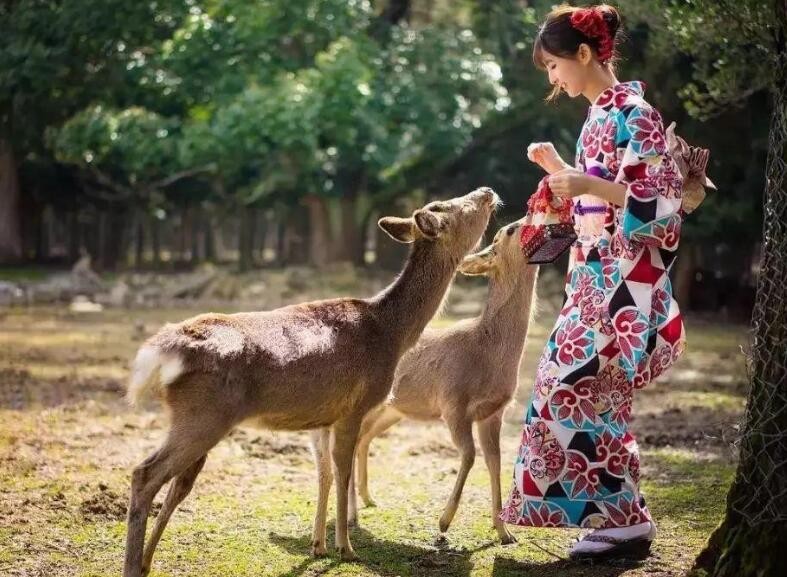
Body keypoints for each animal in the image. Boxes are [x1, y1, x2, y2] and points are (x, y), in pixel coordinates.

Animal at [121, 187, 498, 572]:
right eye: (457, 209)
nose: (486, 192)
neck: (391, 334)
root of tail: (160, 351)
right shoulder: (355, 406)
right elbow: (343, 471)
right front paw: (346, 548)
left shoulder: (324, 416)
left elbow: (324, 474)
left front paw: (318, 544)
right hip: (204, 414)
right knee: (145, 474)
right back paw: (133, 565)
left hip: (196, 417)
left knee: (177, 484)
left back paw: (147, 562)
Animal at [348, 214, 540, 544]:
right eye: (509, 230)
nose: (531, 216)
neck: (487, 355)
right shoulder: (453, 402)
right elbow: (470, 455)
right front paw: (444, 522)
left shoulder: (494, 411)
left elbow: (494, 461)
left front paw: (505, 532)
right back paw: (353, 515)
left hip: (393, 410)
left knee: (364, 437)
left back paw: (368, 499)